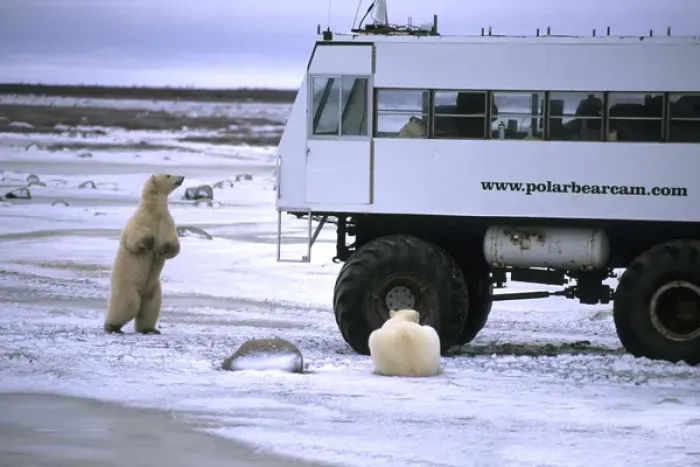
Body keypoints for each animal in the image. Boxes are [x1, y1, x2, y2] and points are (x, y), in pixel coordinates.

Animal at [104, 173, 185, 335]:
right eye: (168, 175)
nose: (182, 177)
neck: (154, 210)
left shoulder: (166, 222)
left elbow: (174, 244)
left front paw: (162, 249)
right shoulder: (141, 219)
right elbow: (132, 238)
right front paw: (150, 242)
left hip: (153, 289)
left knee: (151, 307)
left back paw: (150, 329)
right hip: (127, 285)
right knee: (126, 304)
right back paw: (112, 327)